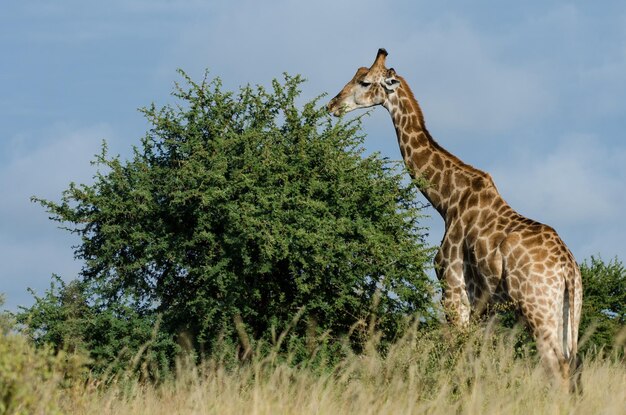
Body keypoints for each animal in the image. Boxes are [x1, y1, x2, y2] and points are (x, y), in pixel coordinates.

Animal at [326, 49, 580, 390]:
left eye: (364, 82)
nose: (332, 105)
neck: (446, 200)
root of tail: (568, 270)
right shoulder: (487, 306)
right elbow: (477, 358)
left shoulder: (453, 287)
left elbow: (457, 354)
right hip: (567, 315)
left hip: (537, 309)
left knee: (556, 368)